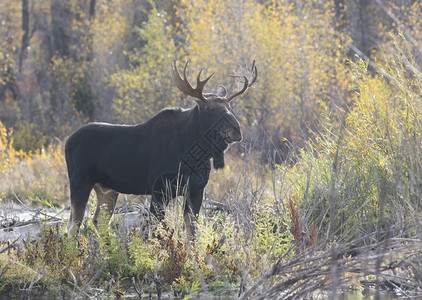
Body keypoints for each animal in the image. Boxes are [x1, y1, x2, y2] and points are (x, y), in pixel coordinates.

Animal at [65, 60, 258, 234]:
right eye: (209, 108)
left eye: (229, 106)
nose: (236, 130)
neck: (195, 155)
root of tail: (67, 141)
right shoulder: (159, 190)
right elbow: (155, 231)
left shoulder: (196, 190)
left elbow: (191, 233)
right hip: (79, 181)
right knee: (74, 225)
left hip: (107, 189)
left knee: (98, 221)